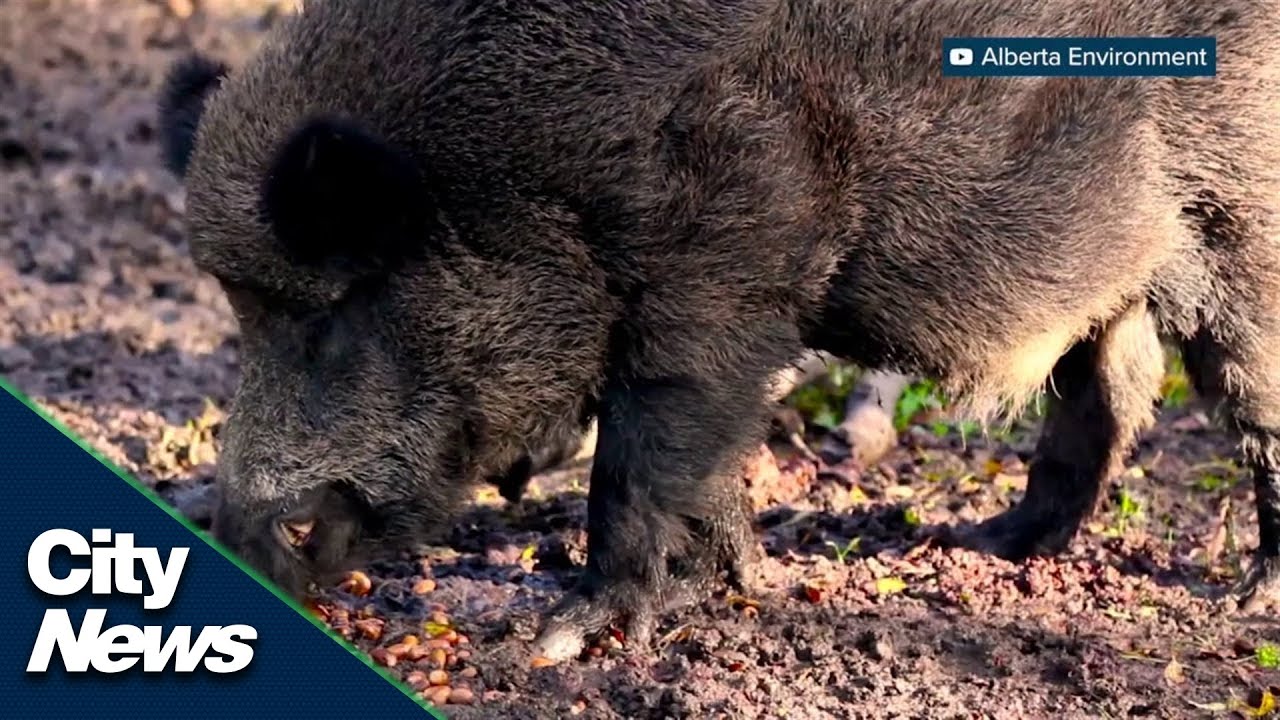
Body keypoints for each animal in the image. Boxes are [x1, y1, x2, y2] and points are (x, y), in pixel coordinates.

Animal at [159, 0, 1280, 661]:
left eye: (333, 308)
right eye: (241, 308)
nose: (243, 532)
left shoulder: (721, 282)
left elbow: (641, 456)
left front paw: (558, 641)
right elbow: (706, 463)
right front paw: (738, 585)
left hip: (1242, 230)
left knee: (1243, 404)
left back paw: (1246, 600)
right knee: (1108, 395)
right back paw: (987, 544)